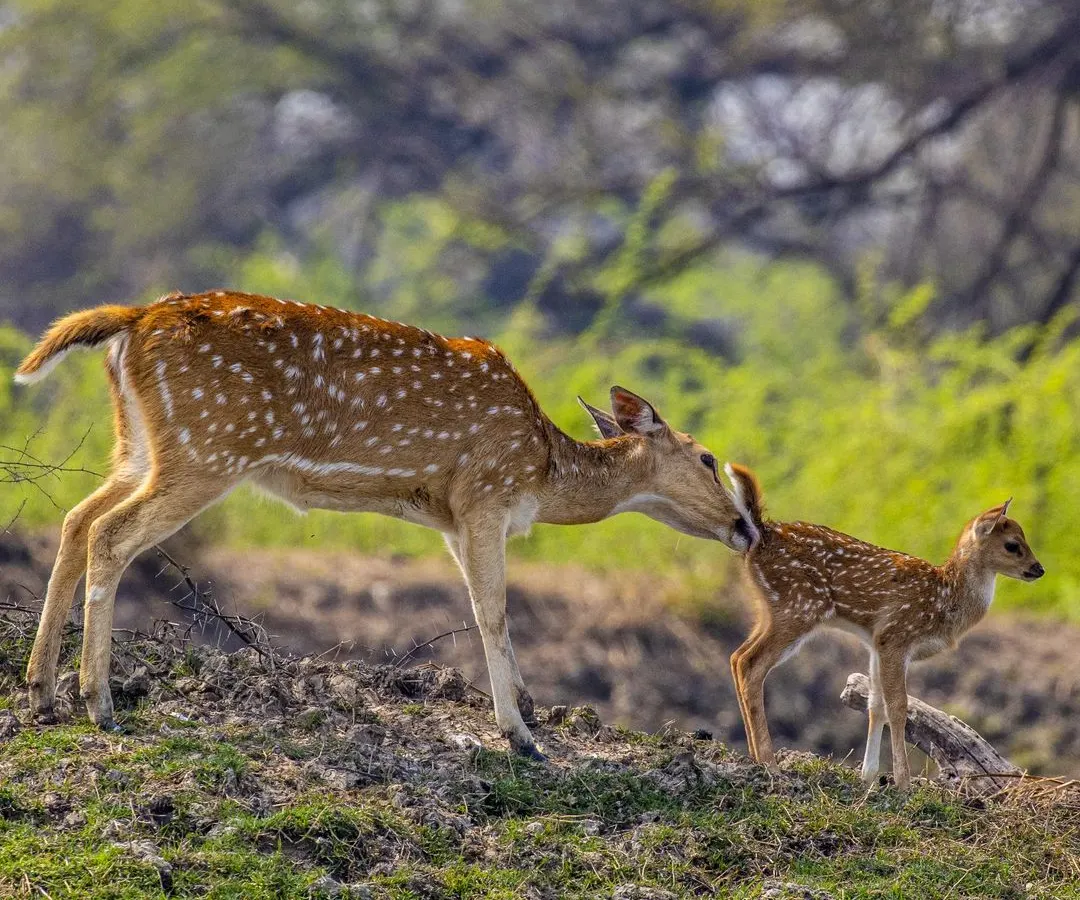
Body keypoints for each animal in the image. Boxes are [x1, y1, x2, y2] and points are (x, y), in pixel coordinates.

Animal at [13, 290, 760, 758]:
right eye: (707, 457)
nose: (747, 529)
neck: (542, 470)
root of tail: (132, 321)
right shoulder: (485, 496)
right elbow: (493, 610)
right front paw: (522, 737)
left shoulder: (452, 517)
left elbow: (484, 607)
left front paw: (527, 707)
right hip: (207, 450)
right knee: (110, 534)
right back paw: (98, 702)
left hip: (139, 446)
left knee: (76, 520)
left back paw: (41, 692)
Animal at [722, 463, 1044, 790]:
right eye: (1012, 545)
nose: (1039, 569)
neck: (944, 600)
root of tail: (761, 533)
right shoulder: (897, 636)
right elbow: (898, 707)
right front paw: (903, 781)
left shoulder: (876, 642)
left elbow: (875, 705)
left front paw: (869, 776)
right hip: (799, 607)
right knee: (750, 663)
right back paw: (769, 762)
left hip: (770, 610)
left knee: (737, 657)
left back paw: (755, 757)